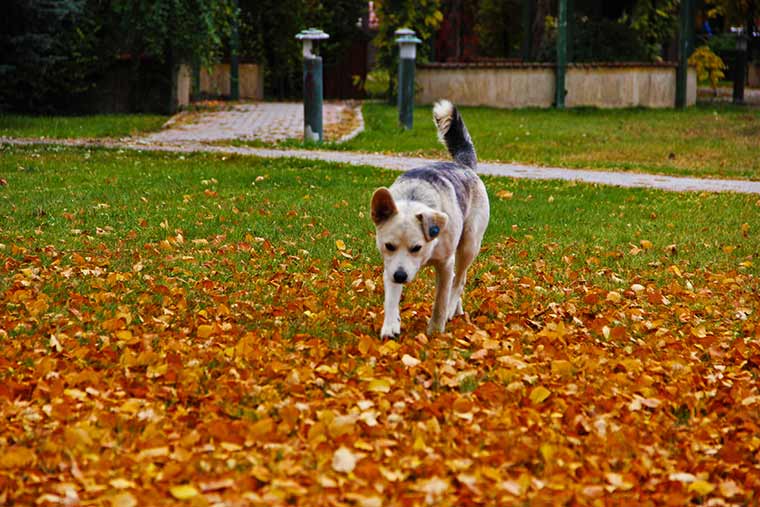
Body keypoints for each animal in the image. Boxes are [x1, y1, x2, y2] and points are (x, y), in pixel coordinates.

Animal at [372, 99, 490, 340]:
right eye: (389, 245)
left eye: (416, 247)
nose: (400, 276)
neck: (414, 197)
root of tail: (463, 166)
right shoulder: (390, 264)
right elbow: (391, 299)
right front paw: (390, 325)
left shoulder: (445, 264)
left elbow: (441, 301)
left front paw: (435, 330)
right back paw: (458, 309)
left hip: (469, 245)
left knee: (459, 280)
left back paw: (452, 309)